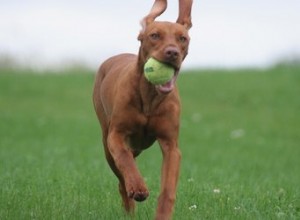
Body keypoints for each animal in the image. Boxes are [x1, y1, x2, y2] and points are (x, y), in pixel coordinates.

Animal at [92, 0, 193, 219]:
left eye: (182, 38)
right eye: (154, 35)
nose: (172, 52)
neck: (150, 97)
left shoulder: (171, 146)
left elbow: (168, 188)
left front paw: (163, 214)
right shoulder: (116, 136)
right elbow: (125, 159)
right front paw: (138, 187)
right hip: (106, 144)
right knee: (121, 178)